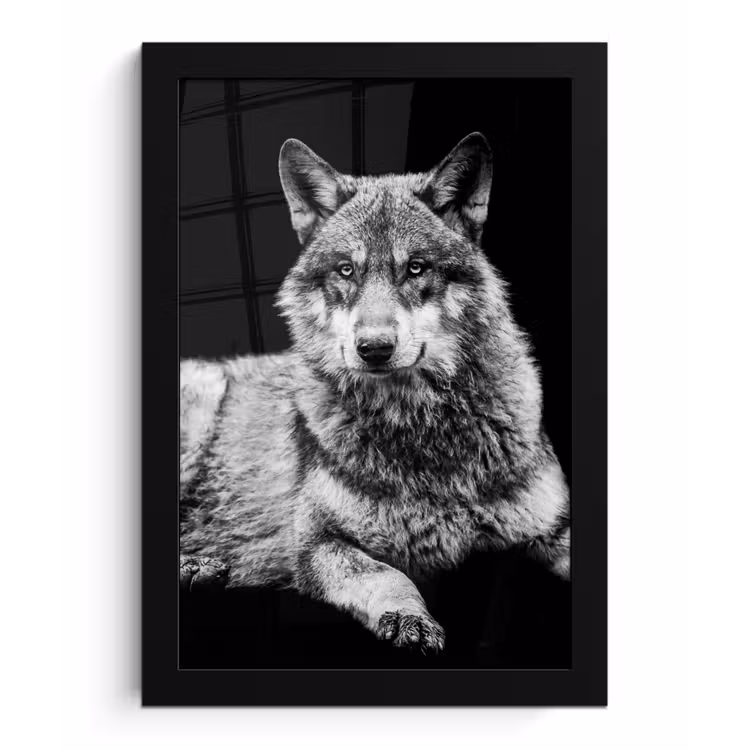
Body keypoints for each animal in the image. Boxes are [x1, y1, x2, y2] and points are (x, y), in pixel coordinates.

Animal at [179, 132, 570, 653]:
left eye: (416, 268)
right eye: (347, 271)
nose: (374, 349)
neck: (420, 428)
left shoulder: (554, 525)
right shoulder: (317, 543)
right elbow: (388, 574)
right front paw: (409, 617)